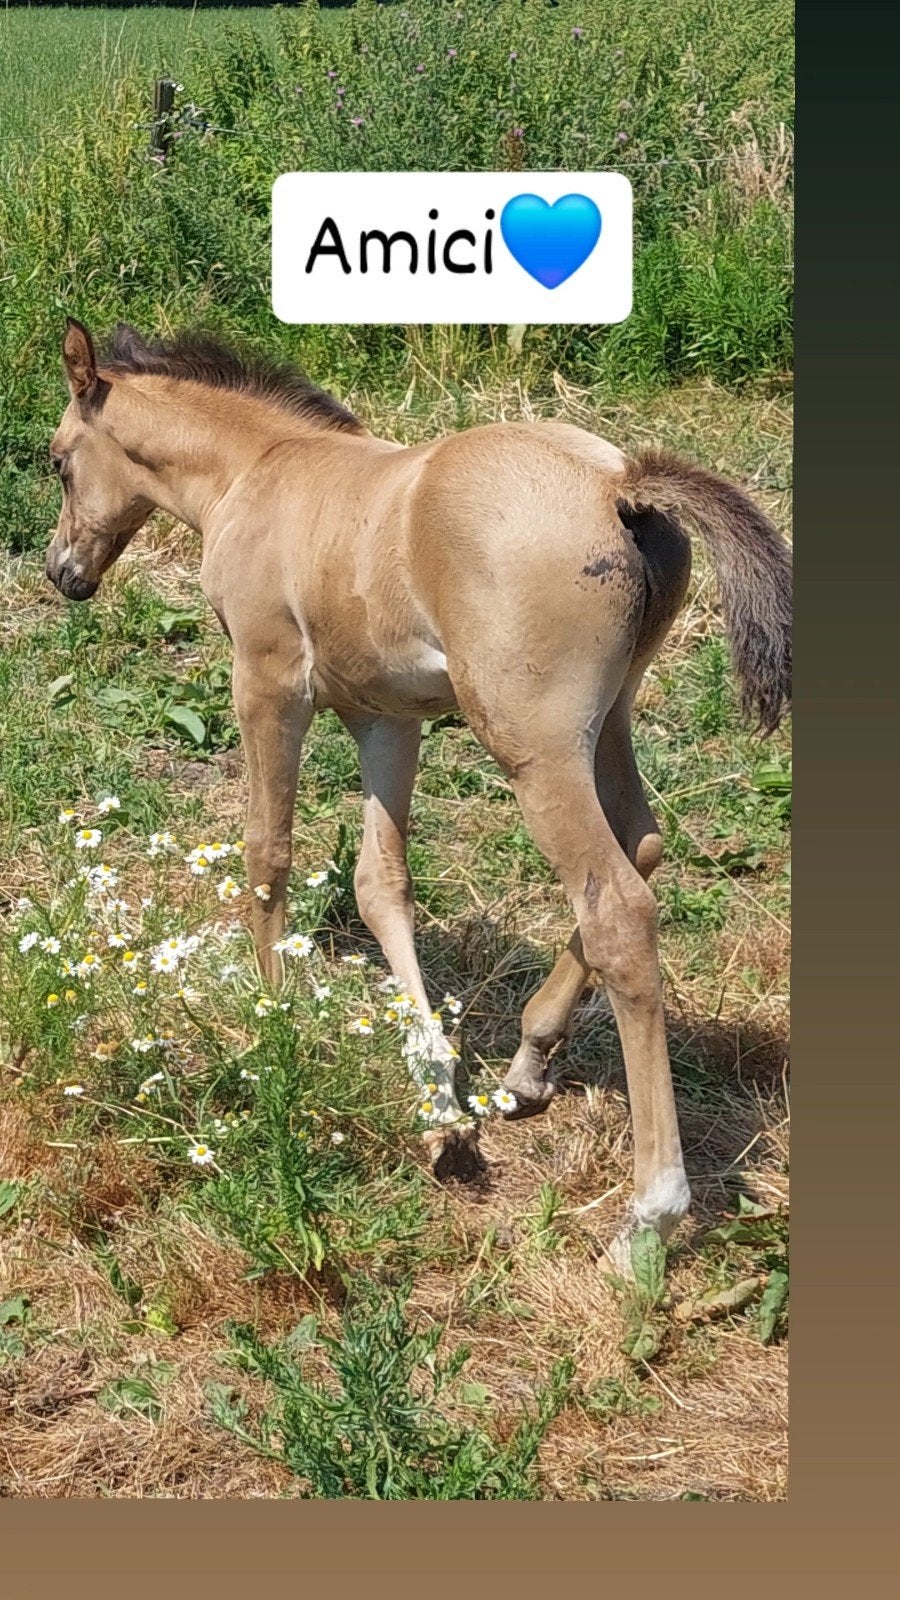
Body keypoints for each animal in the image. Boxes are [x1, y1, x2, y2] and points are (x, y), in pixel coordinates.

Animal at [44, 318, 791, 1269]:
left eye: (59, 461)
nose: (64, 572)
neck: (259, 470)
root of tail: (618, 483)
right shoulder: (384, 718)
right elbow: (380, 883)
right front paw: (438, 1099)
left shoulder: (268, 682)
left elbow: (267, 853)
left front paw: (272, 1021)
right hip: (611, 717)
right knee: (643, 843)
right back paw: (528, 1067)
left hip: (531, 743)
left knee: (616, 906)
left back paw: (648, 1217)